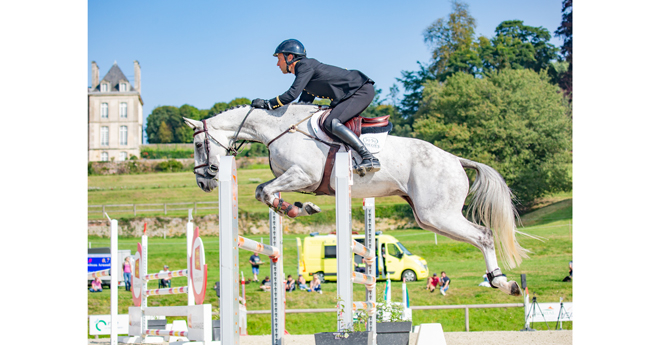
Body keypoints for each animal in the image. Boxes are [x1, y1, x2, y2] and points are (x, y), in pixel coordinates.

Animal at [184, 103, 532, 294]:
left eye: (199, 145)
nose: (203, 182)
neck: (279, 128)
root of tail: (456, 159)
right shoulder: (293, 178)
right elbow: (263, 191)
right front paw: (298, 208)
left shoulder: (304, 175)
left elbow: (266, 191)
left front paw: (301, 208)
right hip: (428, 217)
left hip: (438, 214)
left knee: (483, 235)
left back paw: (504, 283)